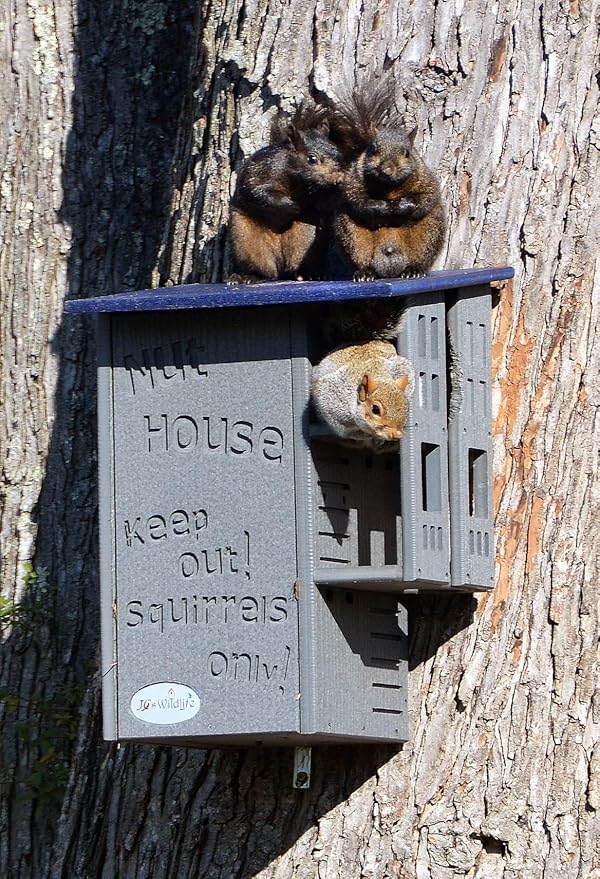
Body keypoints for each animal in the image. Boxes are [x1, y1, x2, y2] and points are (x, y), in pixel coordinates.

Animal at [227, 104, 343, 283]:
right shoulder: (260, 174)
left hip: (305, 237)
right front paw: (296, 206)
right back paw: (247, 276)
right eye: (312, 159)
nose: (337, 175)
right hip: (245, 238)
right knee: (263, 270)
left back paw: (306, 274)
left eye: (339, 154)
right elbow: (259, 194)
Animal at [326, 79, 446, 281]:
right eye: (373, 149)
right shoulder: (353, 180)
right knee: (361, 257)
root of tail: (390, 266)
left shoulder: (426, 180)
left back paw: (414, 270)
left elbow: (427, 197)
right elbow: (357, 199)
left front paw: (403, 205)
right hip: (352, 234)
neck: (390, 188)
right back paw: (365, 272)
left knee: (421, 256)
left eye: (407, 153)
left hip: (429, 232)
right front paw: (381, 206)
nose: (387, 169)